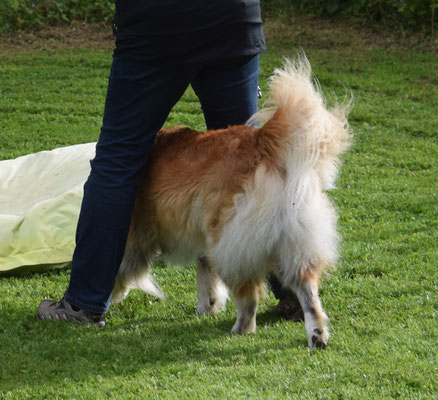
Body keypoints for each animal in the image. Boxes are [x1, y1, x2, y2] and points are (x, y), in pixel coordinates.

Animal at [111, 54, 350, 348]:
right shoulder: (203, 245)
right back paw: (317, 336)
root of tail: (262, 143)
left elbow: (118, 268)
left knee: (249, 297)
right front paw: (208, 307)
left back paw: (241, 329)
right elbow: (205, 277)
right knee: (308, 293)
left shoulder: (135, 236)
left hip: (231, 243)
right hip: (291, 243)